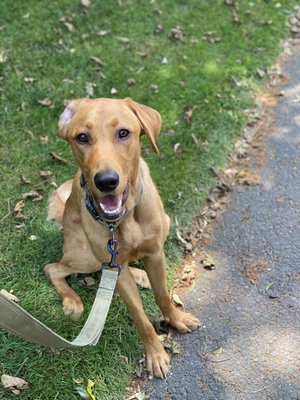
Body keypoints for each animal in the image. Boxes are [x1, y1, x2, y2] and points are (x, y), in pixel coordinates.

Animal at [45, 97, 200, 378]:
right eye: (81, 137)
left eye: (124, 133)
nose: (106, 181)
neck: (124, 218)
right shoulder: (114, 266)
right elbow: (141, 318)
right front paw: (155, 354)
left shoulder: (155, 253)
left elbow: (163, 296)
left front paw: (176, 319)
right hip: (87, 256)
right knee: (53, 268)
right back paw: (72, 300)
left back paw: (140, 275)